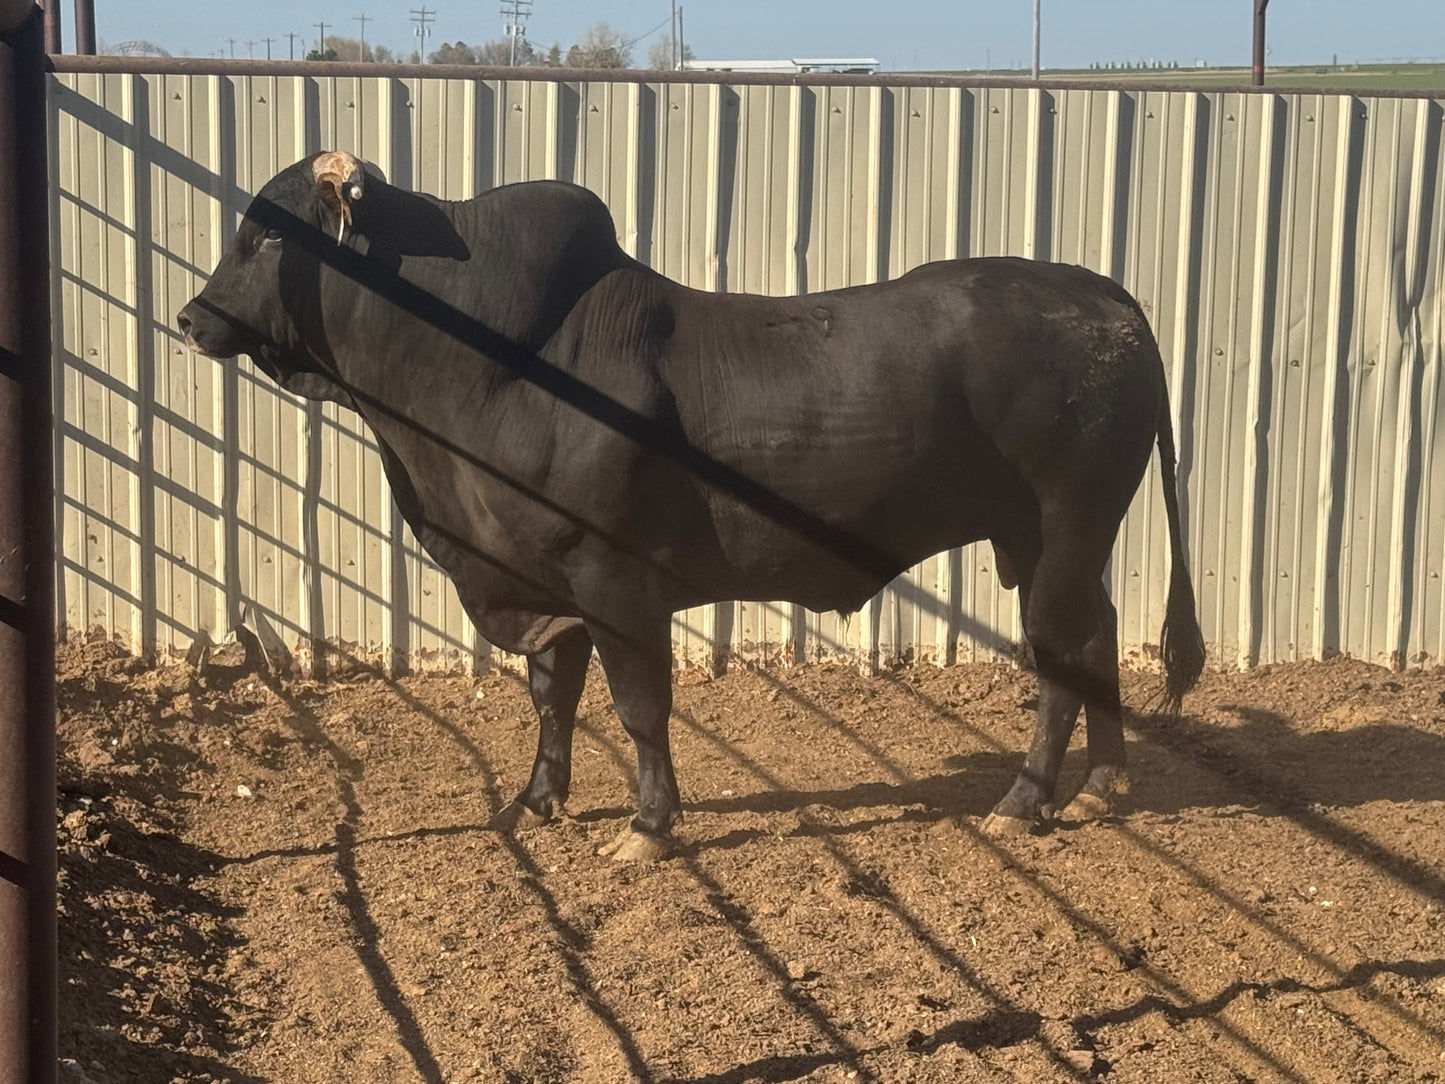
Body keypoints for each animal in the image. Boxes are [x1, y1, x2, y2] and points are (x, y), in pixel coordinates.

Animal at [178, 151, 1205, 861]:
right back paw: (1103, 785)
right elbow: (552, 696)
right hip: (1047, 540)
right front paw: (536, 799)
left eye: (269, 234)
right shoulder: (543, 583)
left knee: (1060, 657)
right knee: (1095, 635)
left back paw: (1024, 801)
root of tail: (1099, 292)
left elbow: (638, 707)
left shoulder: (612, 581)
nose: (189, 318)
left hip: (1063, 527)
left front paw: (648, 826)